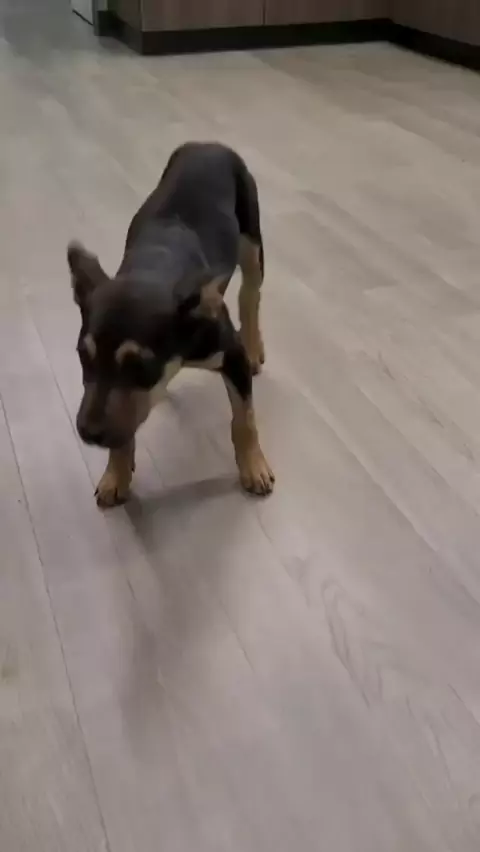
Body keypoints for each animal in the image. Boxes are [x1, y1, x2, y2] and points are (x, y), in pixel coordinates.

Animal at [68, 141, 275, 508]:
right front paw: (116, 474)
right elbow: (123, 426)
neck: (154, 268)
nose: (88, 434)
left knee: (250, 295)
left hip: (252, 241)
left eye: (139, 365)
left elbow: (244, 419)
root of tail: (209, 145)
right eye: (83, 356)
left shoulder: (231, 356)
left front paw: (254, 467)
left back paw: (254, 344)